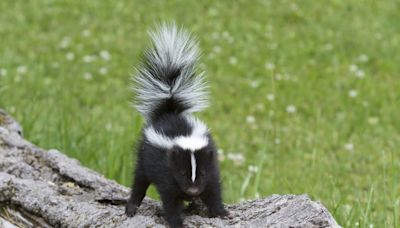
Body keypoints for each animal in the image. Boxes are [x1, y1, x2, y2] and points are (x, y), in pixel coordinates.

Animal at [125, 24, 231, 227]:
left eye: (202, 173)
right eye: (182, 173)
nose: (193, 191)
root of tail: (169, 111)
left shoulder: (211, 166)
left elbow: (213, 190)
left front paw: (221, 212)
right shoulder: (166, 172)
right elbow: (170, 200)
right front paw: (176, 222)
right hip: (143, 156)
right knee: (139, 181)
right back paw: (131, 207)